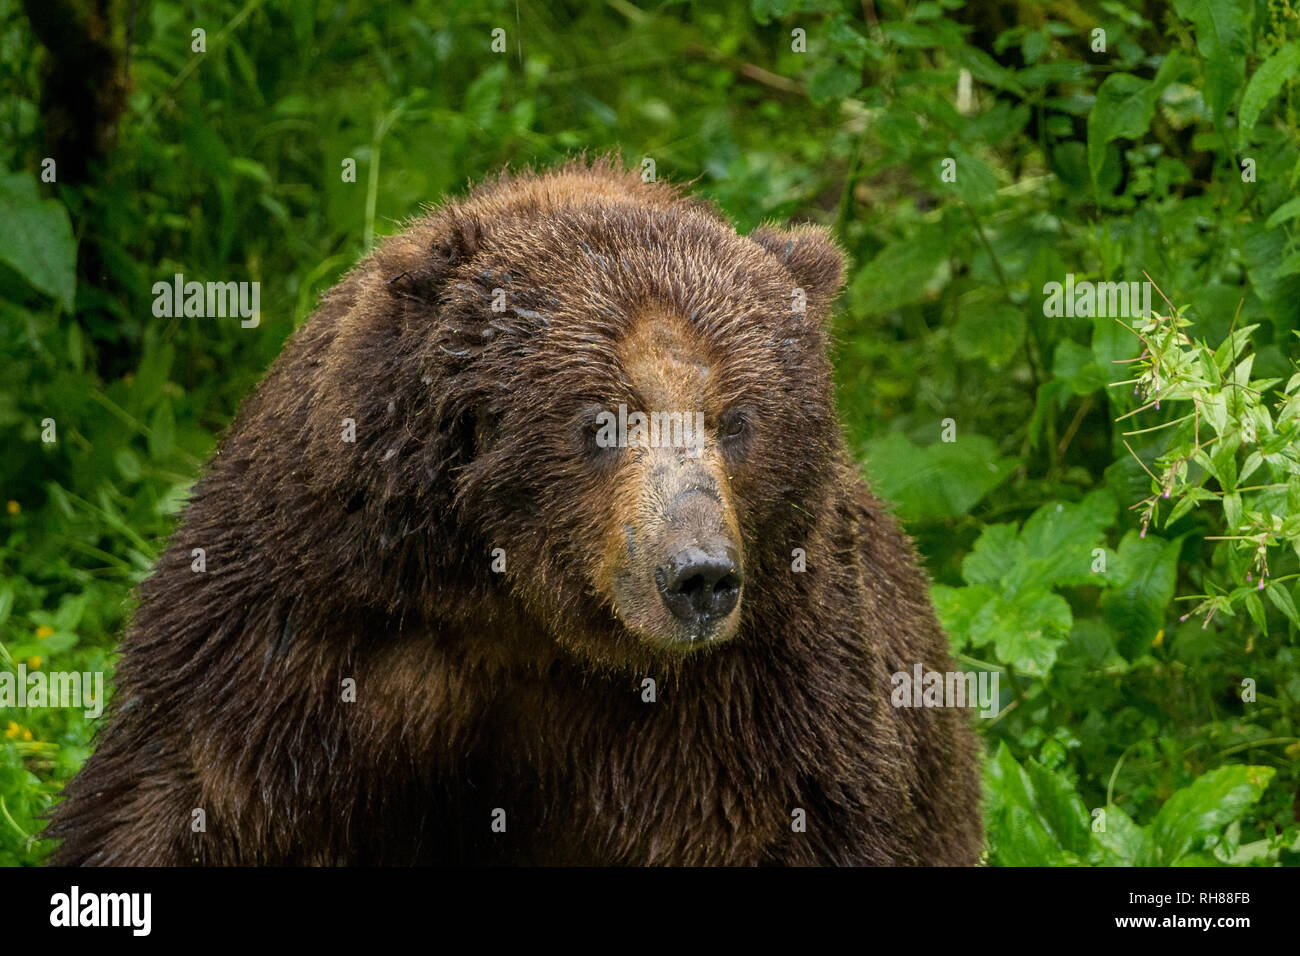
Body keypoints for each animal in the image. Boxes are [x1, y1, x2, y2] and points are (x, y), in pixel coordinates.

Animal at [48, 158, 982, 868]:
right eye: (599, 420)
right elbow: (188, 791)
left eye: (736, 420)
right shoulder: (314, 608)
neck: (520, 606)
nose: (699, 577)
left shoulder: (769, 678)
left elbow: (807, 817)